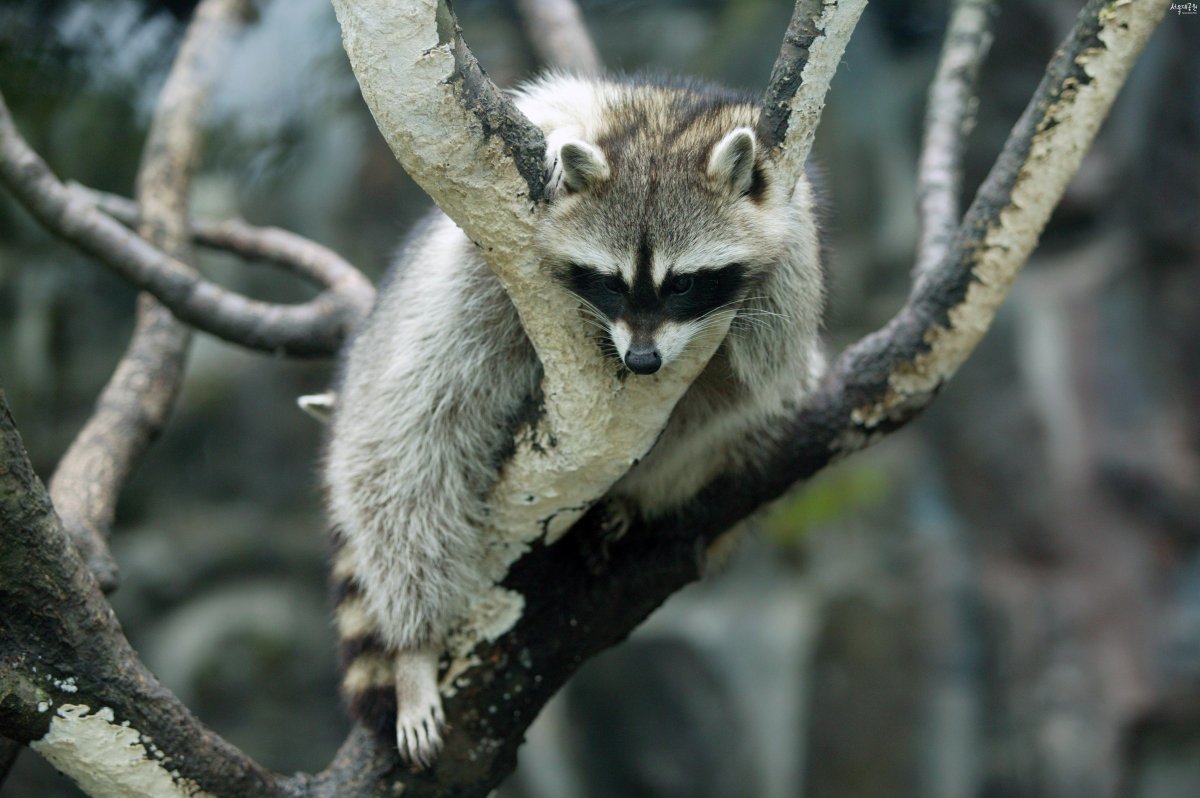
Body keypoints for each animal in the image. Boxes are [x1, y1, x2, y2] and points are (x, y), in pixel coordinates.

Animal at [321, 74, 825, 768]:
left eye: (683, 285)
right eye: (610, 283)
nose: (642, 361)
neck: (660, 128)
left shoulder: (791, 219)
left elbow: (770, 358)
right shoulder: (551, 129)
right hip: (404, 352)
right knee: (409, 454)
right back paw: (415, 644)